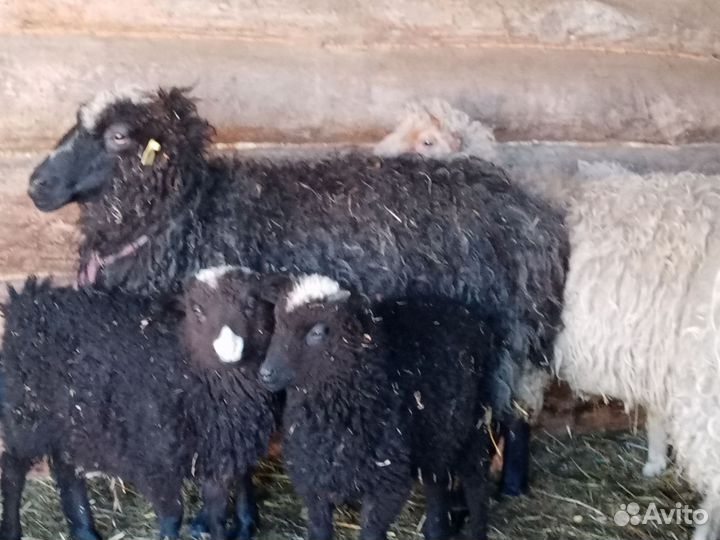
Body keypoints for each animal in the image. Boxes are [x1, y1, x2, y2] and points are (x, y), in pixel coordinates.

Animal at [0, 268, 278, 540]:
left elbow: (217, 516)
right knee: (12, 470)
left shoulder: (219, 460)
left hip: (69, 420)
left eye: (250, 304)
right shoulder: (156, 462)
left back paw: (85, 530)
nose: (230, 349)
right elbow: (172, 517)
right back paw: (12, 530)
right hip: (26, 417)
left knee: (66, 467)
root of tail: (28, 300)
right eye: (197, 309)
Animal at [27, 87, 569, 496]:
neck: (189, 214)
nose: (36, 186)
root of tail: (533, 213)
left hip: (506, 338)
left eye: (118, 136)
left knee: (507, 416)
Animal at [258, 274, 496, 540]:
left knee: (476, 483)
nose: (266, 373)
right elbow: (319, 529)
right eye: (277, 322)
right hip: (436, 435)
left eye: (317, 332)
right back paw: (436, 530)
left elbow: (372, 532)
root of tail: (470, 316)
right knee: (437, 483)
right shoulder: (312, 481)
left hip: (476, 423)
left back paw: (477, 529)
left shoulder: (386, 484)